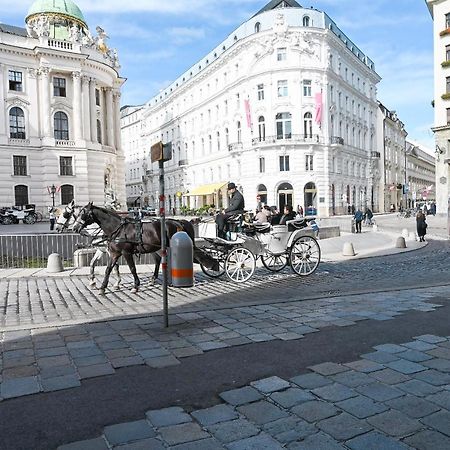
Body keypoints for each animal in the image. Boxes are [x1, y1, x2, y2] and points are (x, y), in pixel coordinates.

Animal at [72, 203, 216, 296]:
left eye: (83, 213)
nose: (74, 228)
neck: (117, 229)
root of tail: (179, 222)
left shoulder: (126, 252)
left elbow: (132, 268)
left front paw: (135, 286)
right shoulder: (114, 253)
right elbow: (108, 269)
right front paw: (102, 288)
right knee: (160, 261)